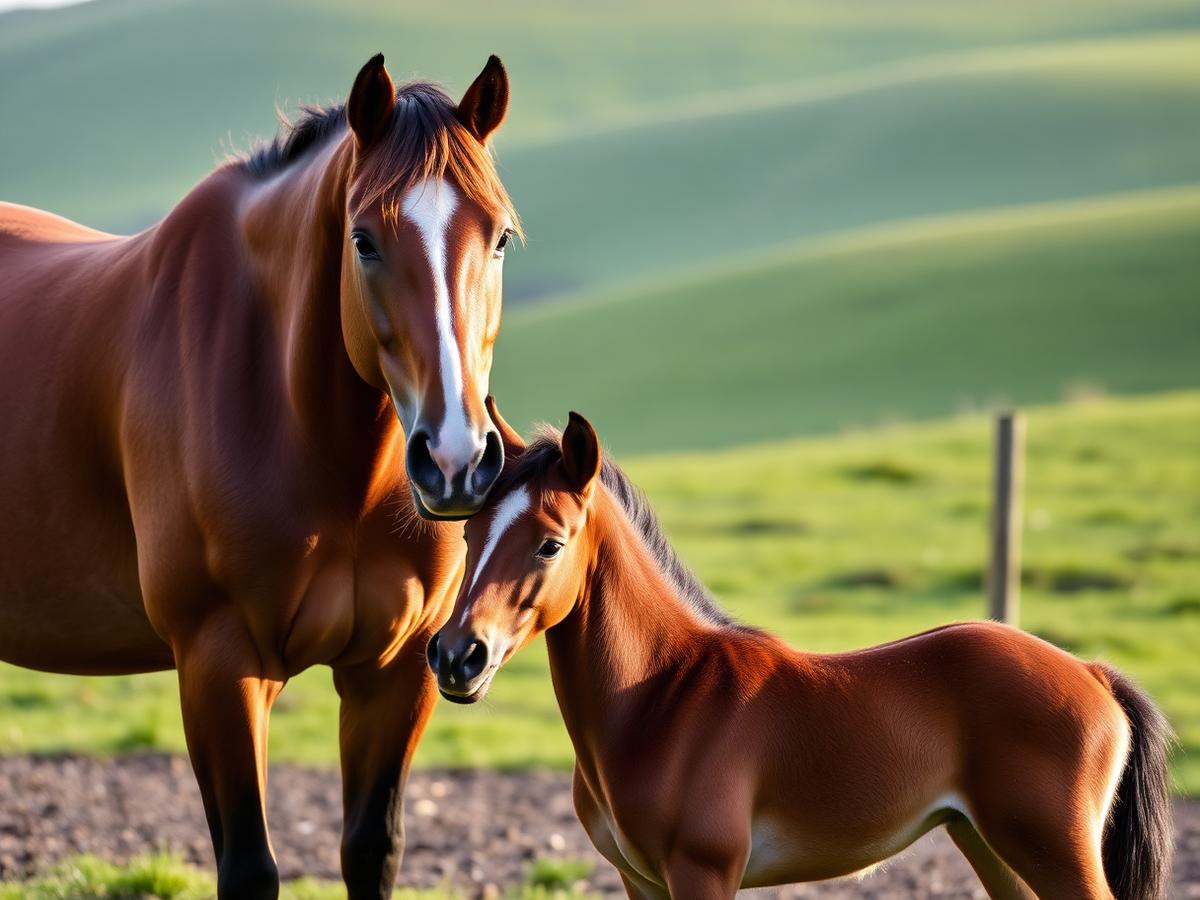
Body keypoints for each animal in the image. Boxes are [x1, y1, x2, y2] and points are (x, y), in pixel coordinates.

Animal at [0, 54, 520, 899]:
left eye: (500, 235)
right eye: (363, 239)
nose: (454, 462)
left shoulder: (394, 673)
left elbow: (371, 849)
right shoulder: (219, 663)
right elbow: (249, 866)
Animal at [429, 404, 1174, 900]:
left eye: (550, 543)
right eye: (467, 535)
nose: (457, 657)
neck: (665, 698)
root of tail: (1094, 674)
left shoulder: (703, 872)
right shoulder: (638, 878)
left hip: (1056, 852)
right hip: (994, 850)